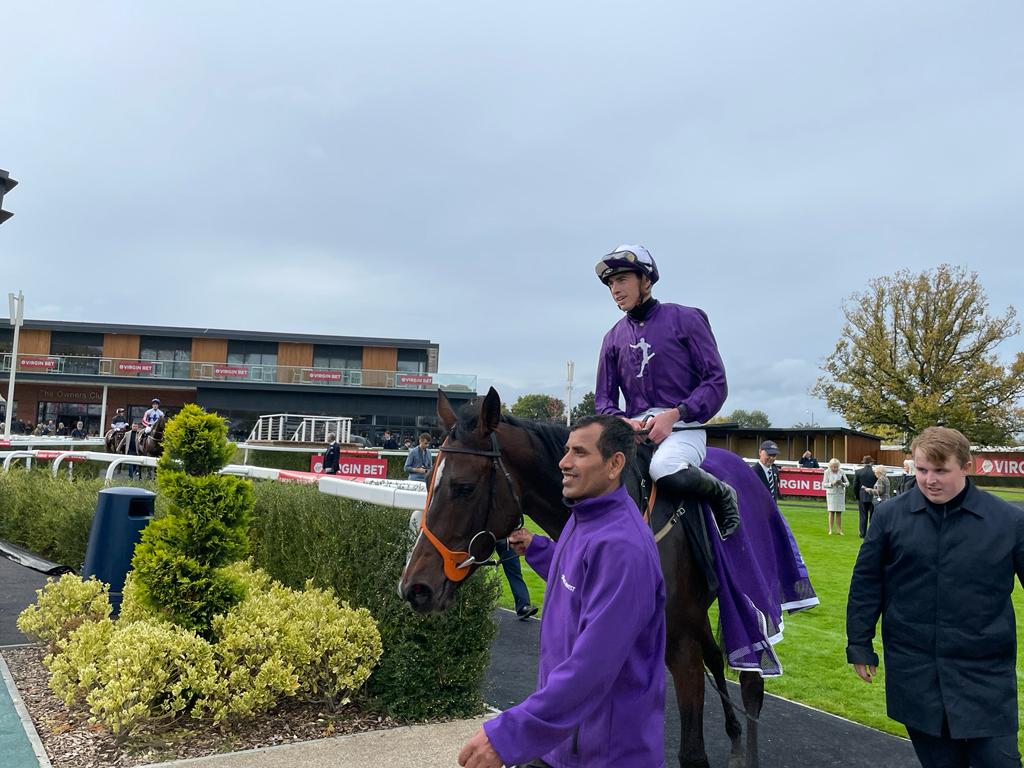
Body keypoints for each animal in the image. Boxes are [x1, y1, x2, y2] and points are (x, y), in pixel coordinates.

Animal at [403, 391, 778, 768]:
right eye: (427, 481)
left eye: (463, 487)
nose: (414, 588)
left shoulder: (680, 645)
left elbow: (692, 752)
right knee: (715, 656)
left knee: (751, 684)